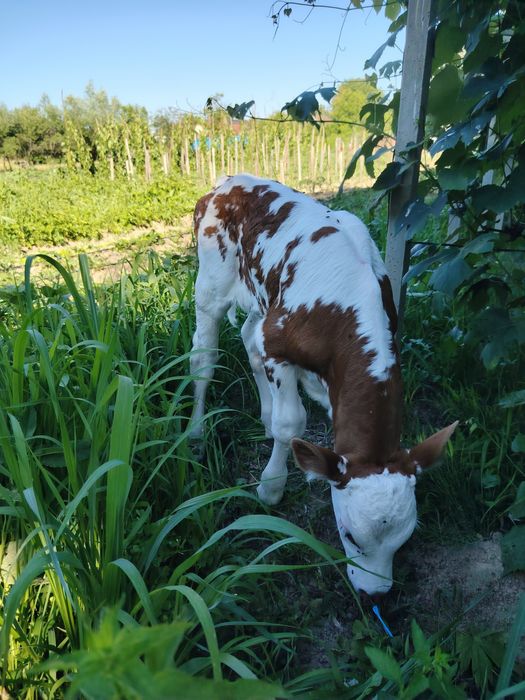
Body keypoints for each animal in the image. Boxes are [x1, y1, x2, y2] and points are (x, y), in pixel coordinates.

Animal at [189, 173, 457, 597]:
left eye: (405, 539)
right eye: (349, 536)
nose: (374, 595)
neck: (345, 311)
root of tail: (230, 181)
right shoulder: (279, 343)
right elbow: (291, 423)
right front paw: (271, 487)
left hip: (261, 298)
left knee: (249, 337)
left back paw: (263, 418)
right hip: (211, 284)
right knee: (203, 358)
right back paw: (196, 434)